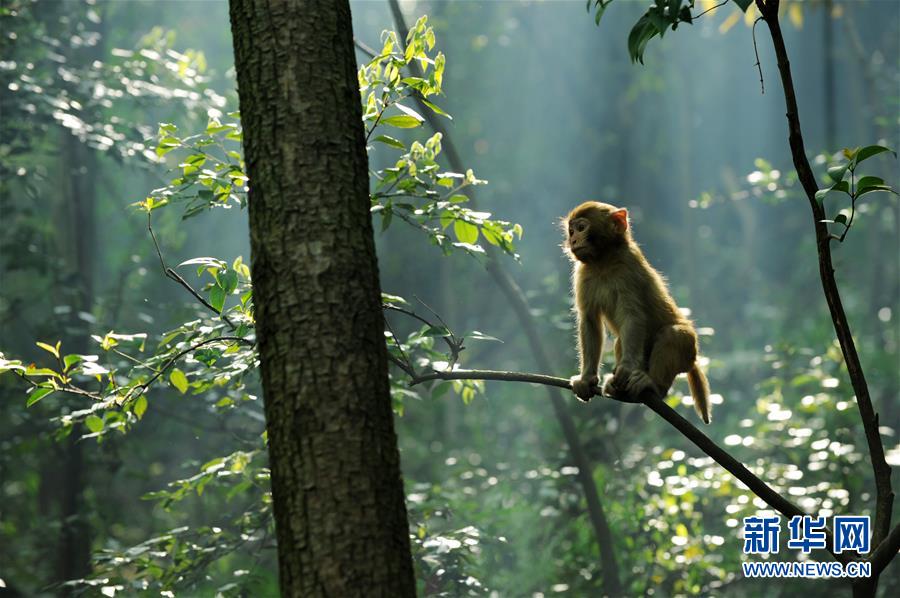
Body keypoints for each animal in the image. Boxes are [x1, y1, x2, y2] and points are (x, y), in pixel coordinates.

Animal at [560, 203, 712, 426]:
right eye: (571, 231)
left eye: (581, 228)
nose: (573, 240)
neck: (603, 262)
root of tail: (692, 361)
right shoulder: (583, 273)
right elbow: (589, 320)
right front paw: (587, 378)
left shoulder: (628, 268)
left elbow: (632, 315)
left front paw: (626, 367)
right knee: (620, 342)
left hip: (687, 350)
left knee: (673, 334)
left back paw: (653, 385)